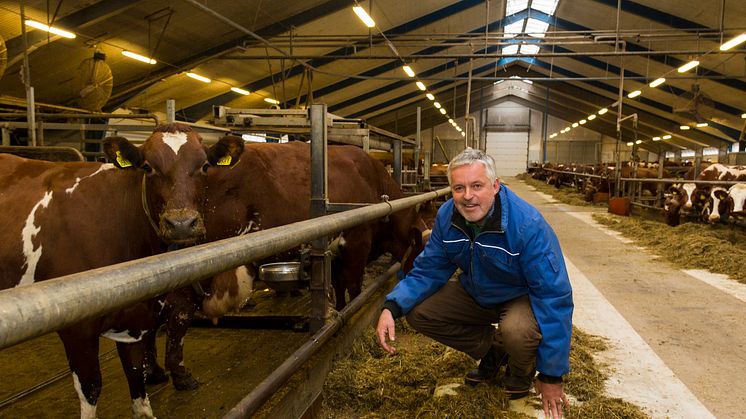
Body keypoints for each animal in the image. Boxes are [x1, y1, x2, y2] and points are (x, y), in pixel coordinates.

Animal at [0, 123, 241, 418]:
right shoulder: (77, 328)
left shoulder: (135, 319)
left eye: (205, 166)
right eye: (148, 167)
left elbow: (138, 379)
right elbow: (91, 388)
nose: (182, 223)